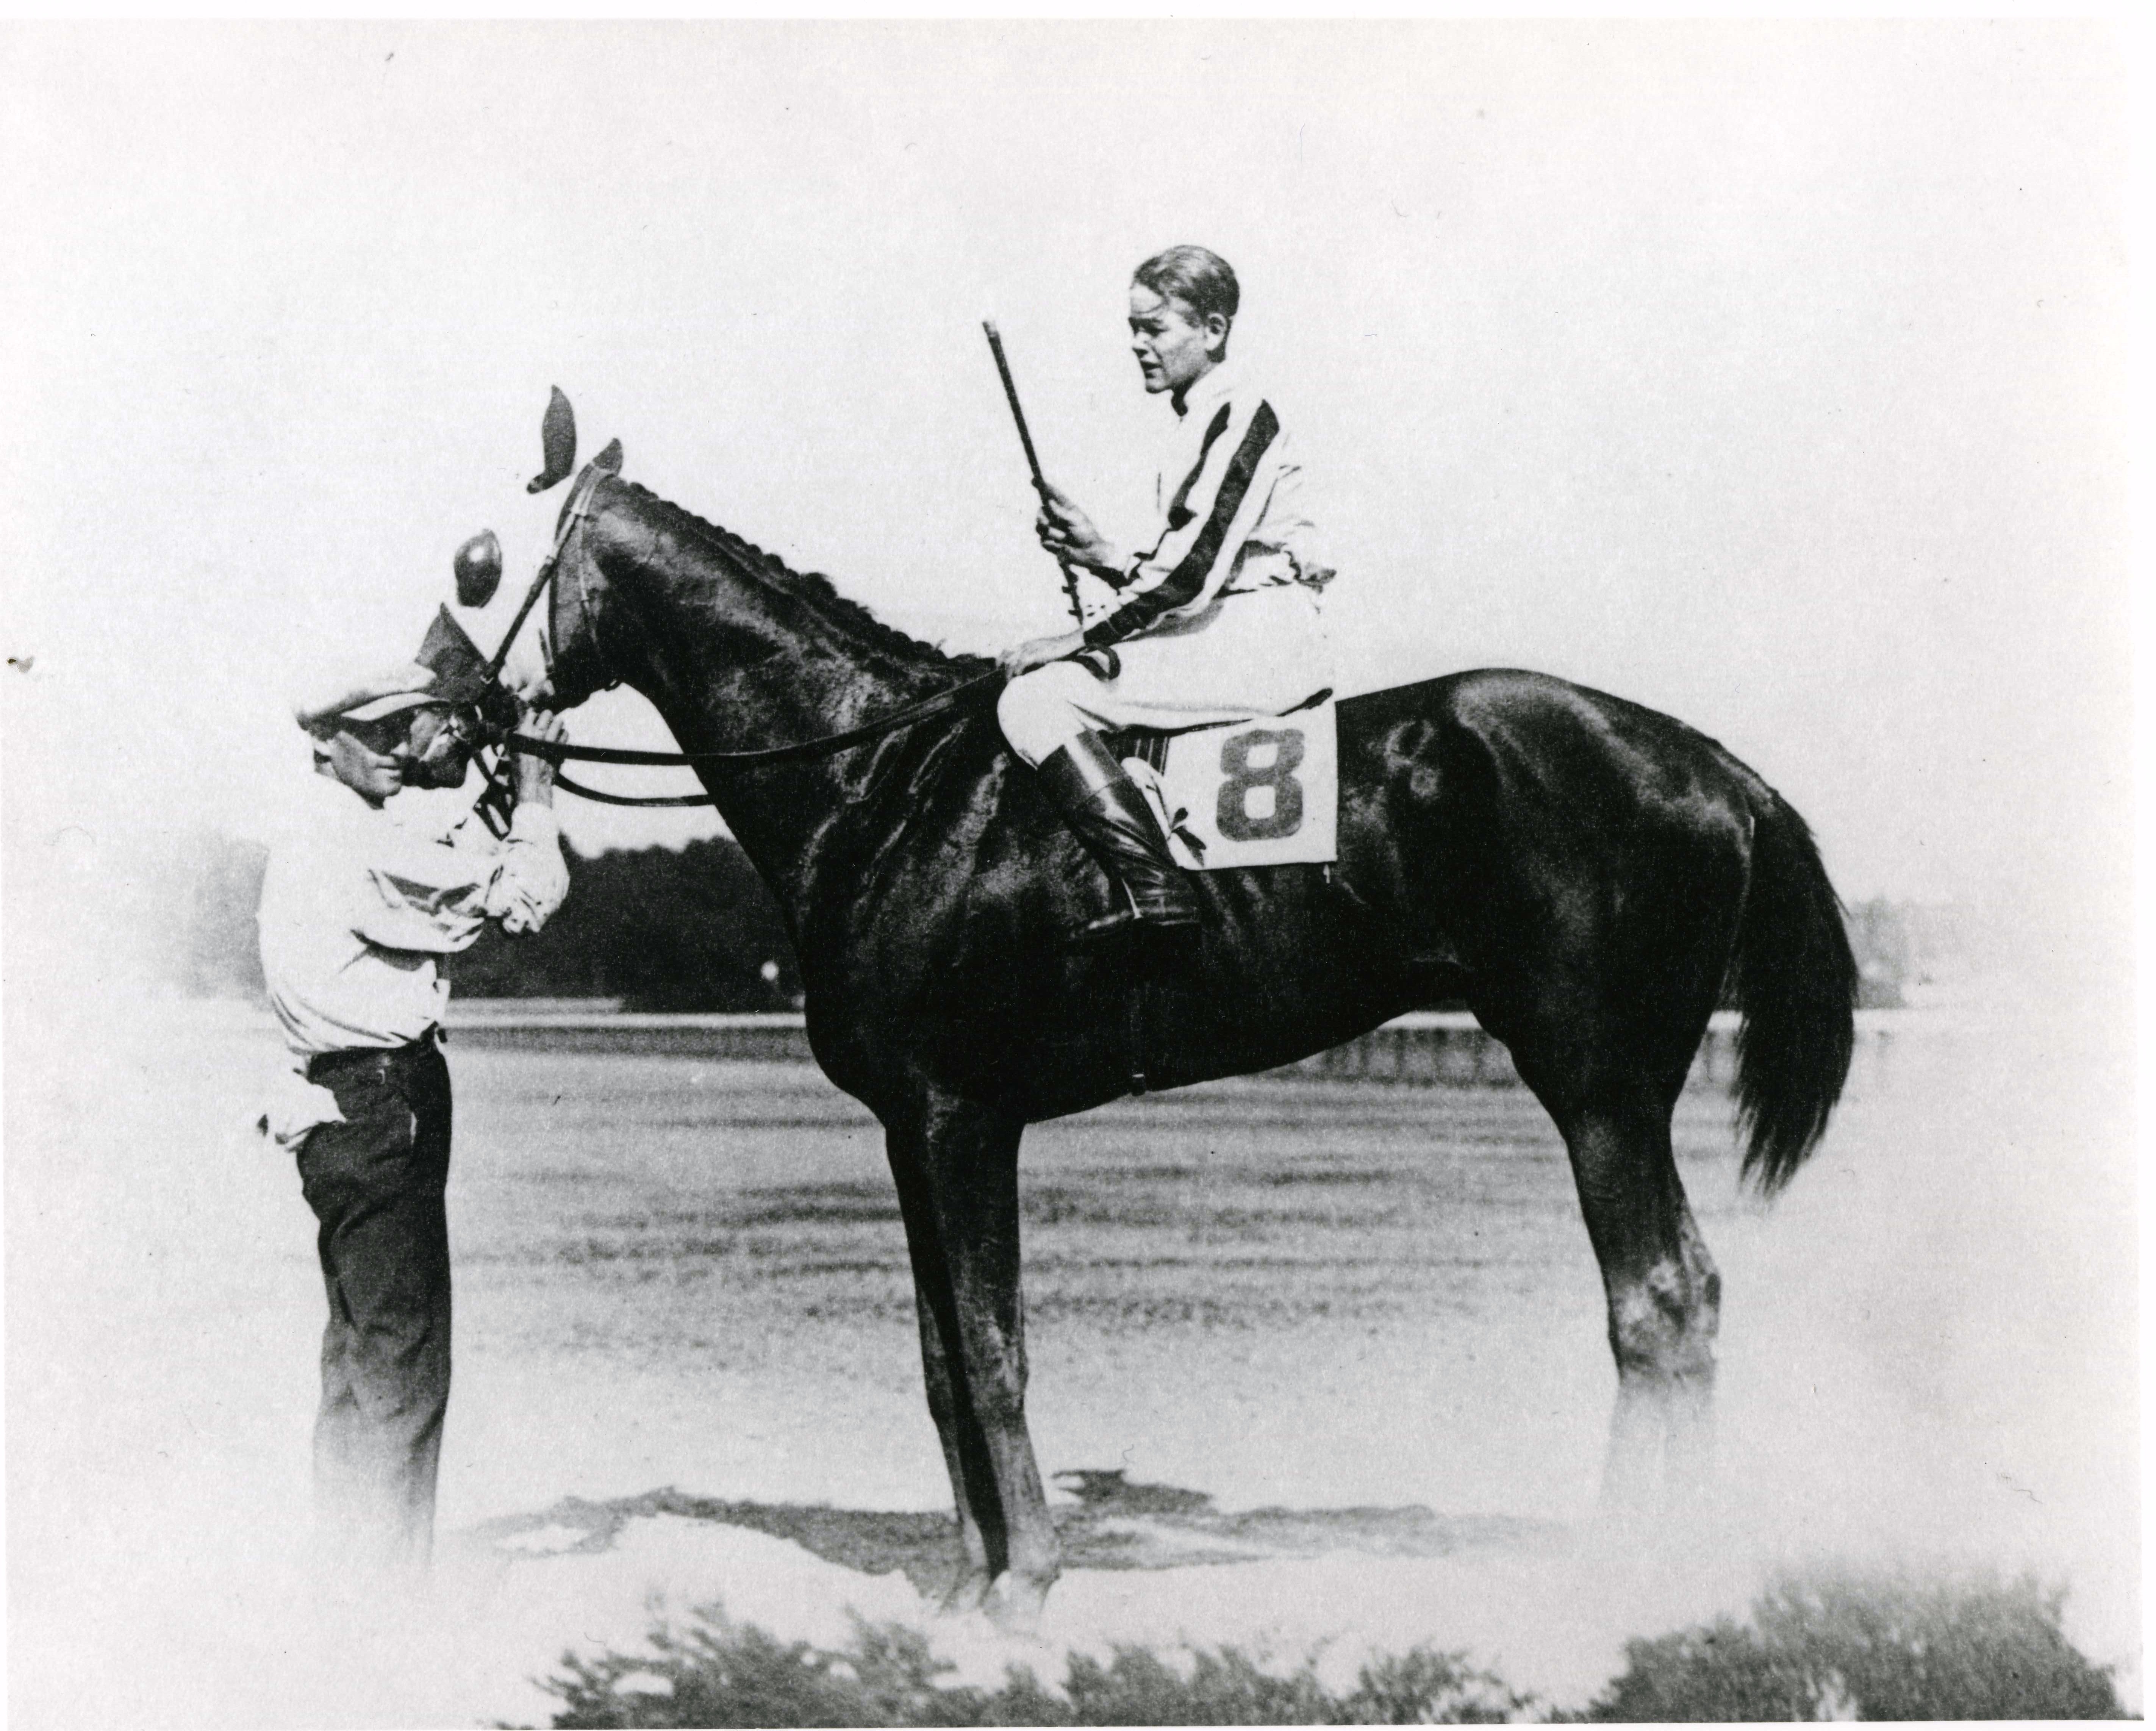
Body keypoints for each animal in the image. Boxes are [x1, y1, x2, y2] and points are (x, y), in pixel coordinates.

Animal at [535, 444, 1854, 1621]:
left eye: (498, 563)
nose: (479, 704)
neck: (889, 788)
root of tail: (1709, 763)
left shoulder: (964, 1116)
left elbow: (993, 1347)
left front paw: (1026, 1581)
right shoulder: (909, 1128)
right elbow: (940, 1360)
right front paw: (965, 1579)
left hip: (1595, 1083)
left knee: (1655, 1302)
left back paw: (1626, 1564)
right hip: (1621, 1088)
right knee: (1689, 1292)